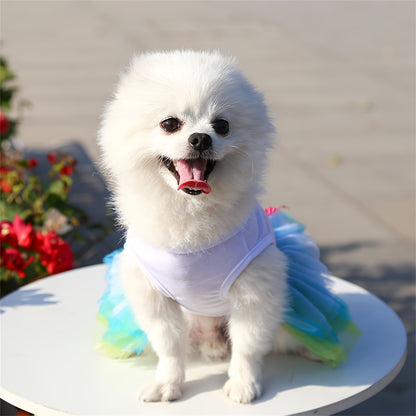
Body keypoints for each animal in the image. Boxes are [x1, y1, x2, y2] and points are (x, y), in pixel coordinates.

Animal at [99, 48, 304, 404]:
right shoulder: (153, 294)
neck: (190, 216)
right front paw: (167, 383)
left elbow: (248, 346)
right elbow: (168, 345)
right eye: (170, 124)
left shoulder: (254, 291)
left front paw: (243, 383)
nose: (200, 138)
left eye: (222, 125)